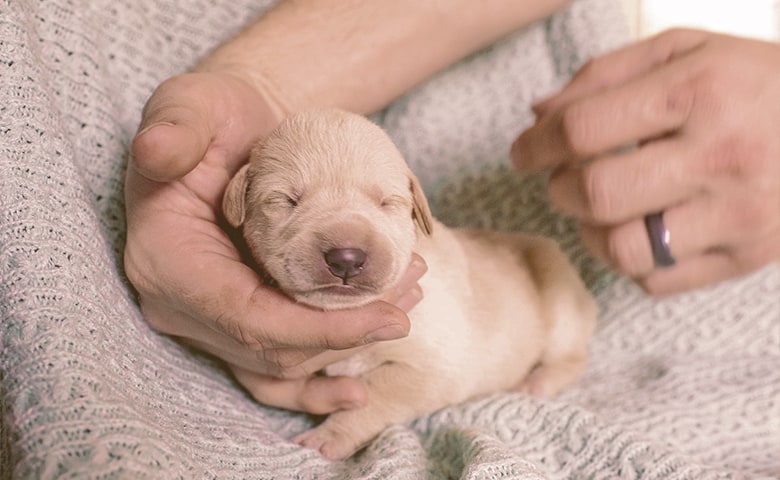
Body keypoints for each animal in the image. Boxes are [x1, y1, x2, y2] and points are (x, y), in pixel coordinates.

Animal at [221, 109, 596, 462]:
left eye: (387, 202)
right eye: (286, 200)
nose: (346, 258)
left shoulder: (435, 366)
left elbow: (375, 394)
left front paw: (329, 436)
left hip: (558, 294)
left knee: (571, 356)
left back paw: (537, 382)